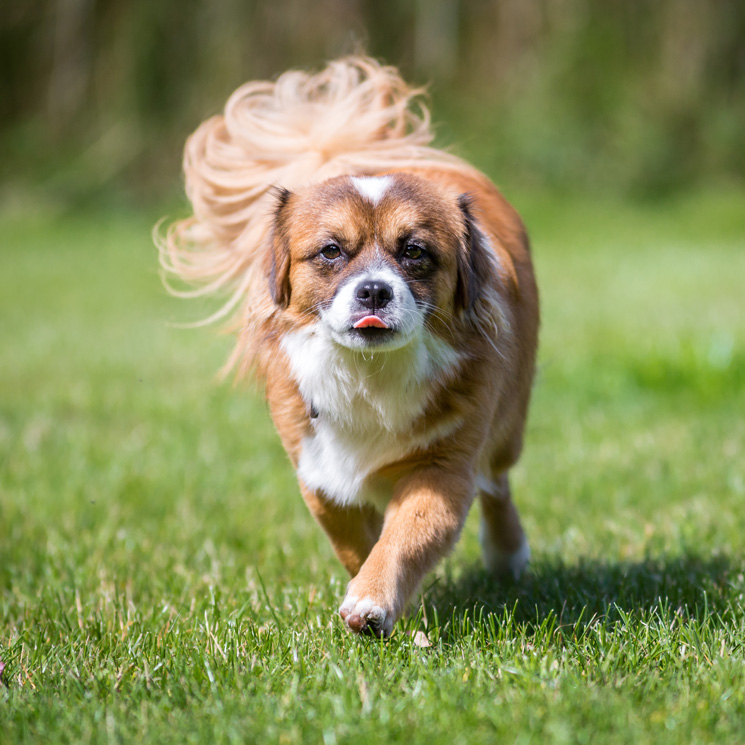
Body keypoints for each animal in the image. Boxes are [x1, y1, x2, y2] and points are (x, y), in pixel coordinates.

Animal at [160, 58, 536, 636]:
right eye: (331, 252)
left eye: (415, 251)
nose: (374, 290)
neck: (368, 374)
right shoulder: (319, 473)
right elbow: (354, 541)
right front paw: (383, 595)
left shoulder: (444, 469)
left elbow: (405, 536)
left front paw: (372, 602)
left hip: (507, 428)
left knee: (497, 483)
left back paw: (508, 554)